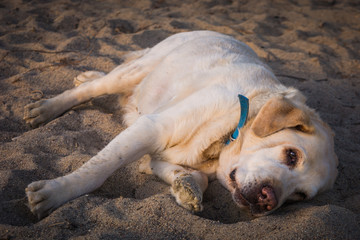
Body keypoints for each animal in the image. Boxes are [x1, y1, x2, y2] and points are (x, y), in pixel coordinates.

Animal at [24, 31, 338, 218]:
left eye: (299, 195)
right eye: (291, 155)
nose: (268, 201)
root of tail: (215, 30)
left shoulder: (157, 150)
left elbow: (184, 173)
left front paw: (187, 187)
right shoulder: (152, 127)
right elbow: (97, 169)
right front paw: (55, 192)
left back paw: (85, 76)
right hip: (138, 69)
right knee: (94, 89)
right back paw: (46, 108)